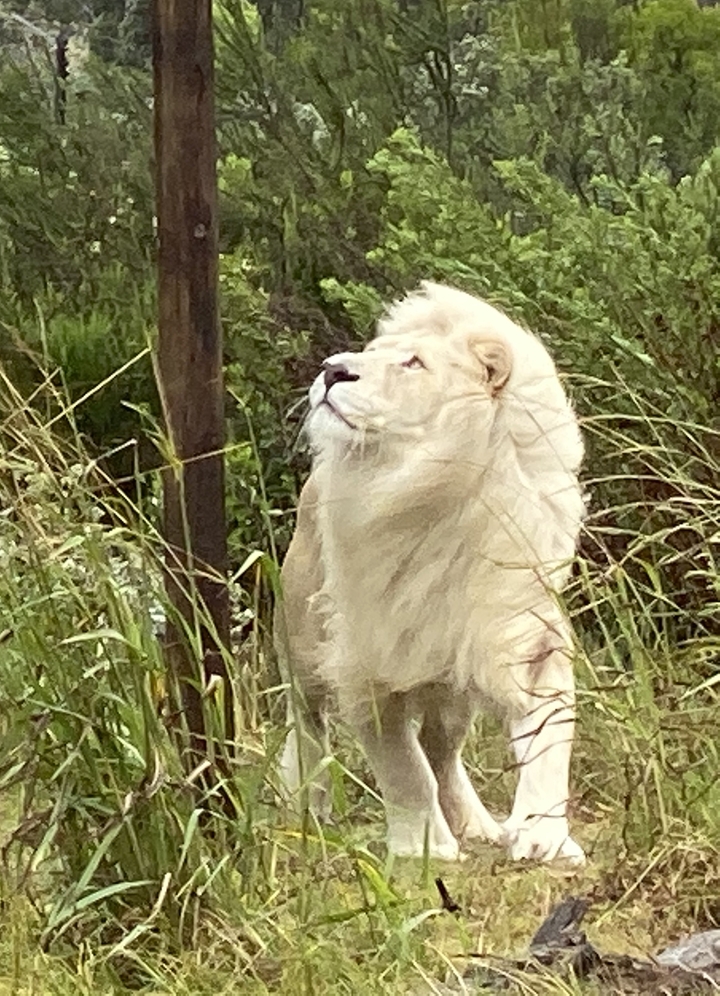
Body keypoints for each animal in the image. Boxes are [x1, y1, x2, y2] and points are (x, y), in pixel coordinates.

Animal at [275, 282, 586, 865]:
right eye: (371, 354)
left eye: (413, 363)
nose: (332, 370)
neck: (423, 494)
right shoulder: (367, 665)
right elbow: (404, 769)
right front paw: (426, 848)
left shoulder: (528, 643)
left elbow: (550, 746)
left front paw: (543, 838)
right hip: (303, 648)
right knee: (309, 728)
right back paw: (308, 808)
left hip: (454, 689)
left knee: (443, 749)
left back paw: (478, 824)